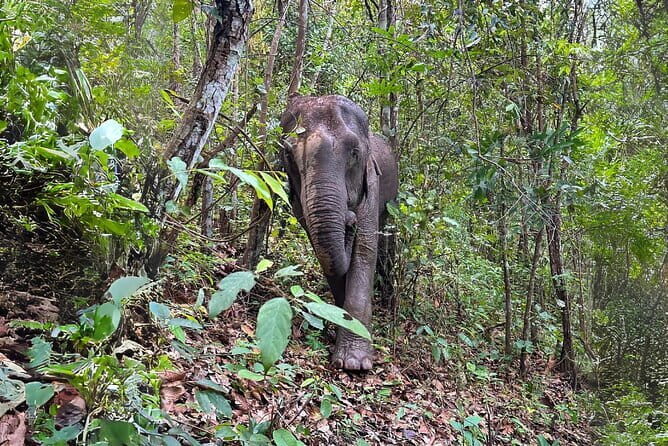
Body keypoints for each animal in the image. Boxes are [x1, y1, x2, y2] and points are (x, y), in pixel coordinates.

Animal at [279, 95, 399, 371]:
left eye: (354, 153)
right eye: (288, 154)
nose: (349, 219)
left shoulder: (372, 185)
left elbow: (365, 250)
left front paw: (354, 363)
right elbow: (322, 249)